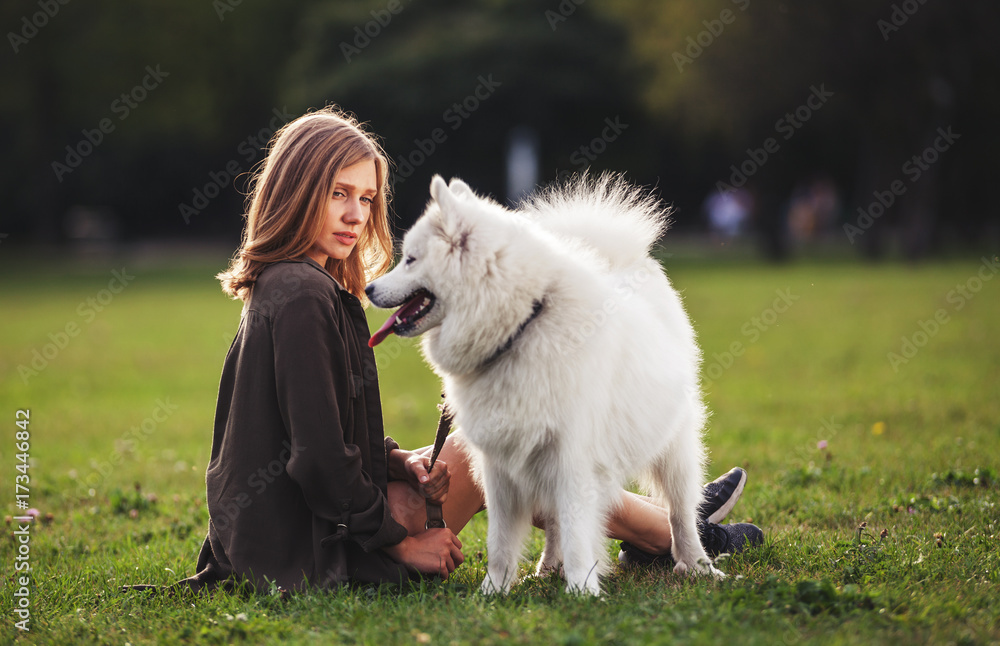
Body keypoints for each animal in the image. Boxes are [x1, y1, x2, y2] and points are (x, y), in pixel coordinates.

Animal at [364, 173, 724, 596]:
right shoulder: (501, 464)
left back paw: (698, 565)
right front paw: (493, 591)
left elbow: (577, 530)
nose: (368, 289)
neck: (520, 328)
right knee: (553, 522)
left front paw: (583, 590)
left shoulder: (573, 460)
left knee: (680, 512)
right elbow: (501, 540)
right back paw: (548, 566)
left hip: (673, 448)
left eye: (410, 259)